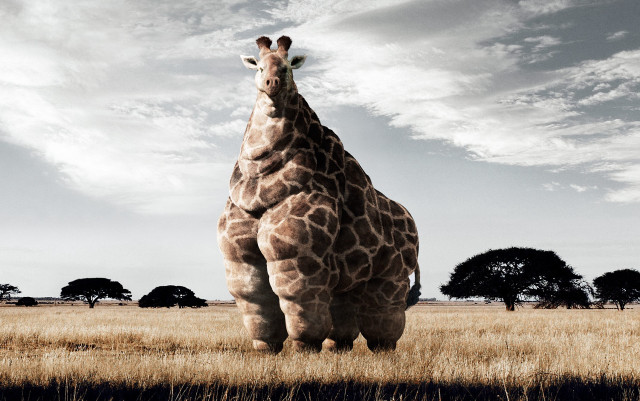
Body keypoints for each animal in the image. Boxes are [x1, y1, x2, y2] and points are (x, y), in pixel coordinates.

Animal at [217, 36, 420, 353]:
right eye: (259, 66)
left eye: (288, 67)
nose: (272, 83)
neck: (258, 181)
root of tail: (413, 223)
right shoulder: (239, 257)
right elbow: (255, 298)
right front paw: (266, 348)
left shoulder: (297, 254)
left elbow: (299, 301)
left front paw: (304, 348)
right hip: (352, 278)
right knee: (344, 313)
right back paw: (337, 347)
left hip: (391, 273)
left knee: (384, 313)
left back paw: (382, 349)